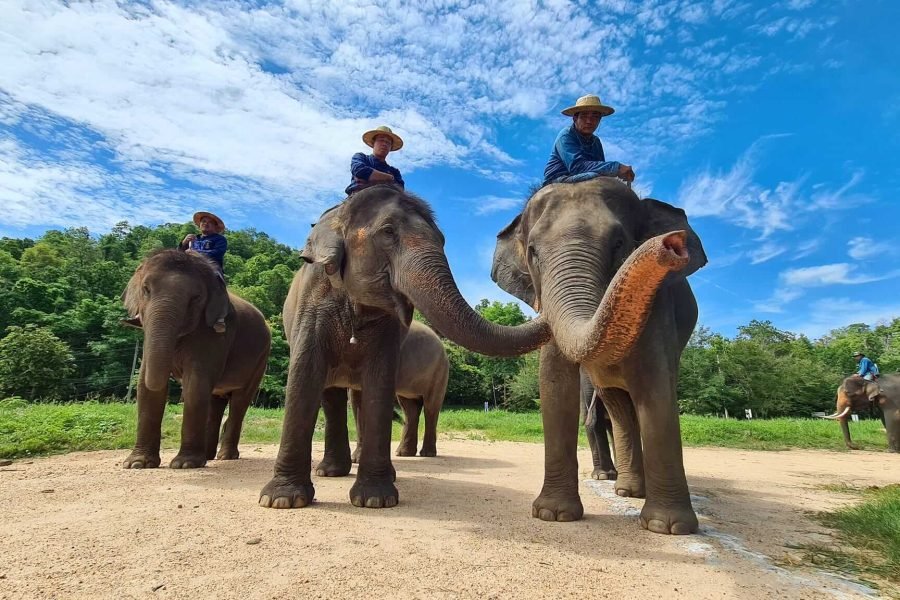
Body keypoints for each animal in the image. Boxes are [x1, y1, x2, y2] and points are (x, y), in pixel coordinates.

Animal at [121, 248, 272, 468]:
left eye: (196, 297)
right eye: (146, 289)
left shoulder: (215, 334)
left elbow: (196, 382)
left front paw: (185, 464)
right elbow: (145, 384)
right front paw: (137, 464)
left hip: (260, 360)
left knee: (240, 401)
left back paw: (225, 456)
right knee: (215, 401)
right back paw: (209, 456)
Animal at [260, 185, 552, 508]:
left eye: (442, 240)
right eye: (388, 232)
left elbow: (378, 382)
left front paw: (375, 500)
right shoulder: (313, 302)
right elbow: (306, 375)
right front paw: (281, 500)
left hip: (441, 371)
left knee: (428, 407)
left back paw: (420, 456)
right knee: (370, 402)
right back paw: (337, 470)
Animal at [492, 178, 712, 536]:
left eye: (619, 243)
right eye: (533, 251)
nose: (671, 244)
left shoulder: (659, 308)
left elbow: (656, 388)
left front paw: (667, 527)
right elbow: (554, 384)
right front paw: (553, 514)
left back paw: (630, 491)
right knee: (619, 407)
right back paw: (627, 489)